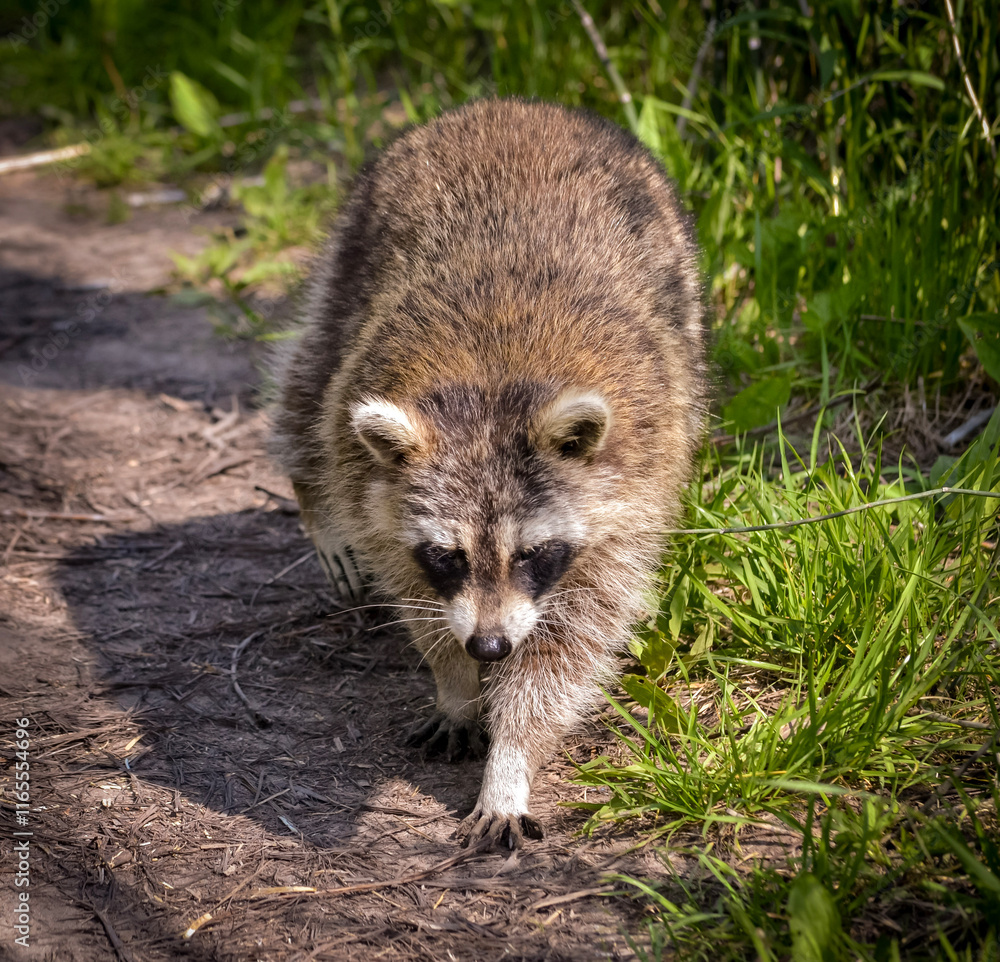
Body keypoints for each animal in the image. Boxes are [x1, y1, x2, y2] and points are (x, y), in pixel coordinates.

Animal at [273, 98, 706, 850]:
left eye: (533, 553)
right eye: (448, 555)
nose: (490, 645)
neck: (493, 394)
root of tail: (516, 105)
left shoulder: (625, 503)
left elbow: (569, 650)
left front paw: (511, 759)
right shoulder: (377, 489)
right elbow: (416, 596)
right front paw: (455, 681)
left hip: (680, 279)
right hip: (352, 251)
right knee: (312, 378)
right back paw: (313, 497)